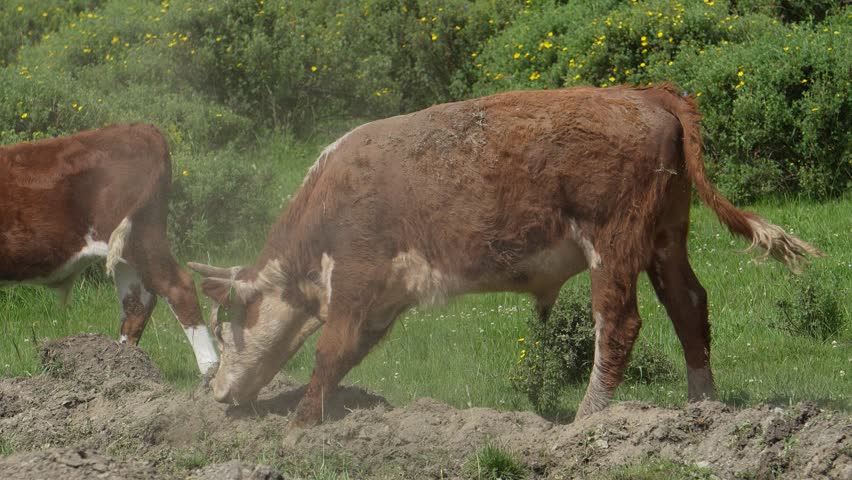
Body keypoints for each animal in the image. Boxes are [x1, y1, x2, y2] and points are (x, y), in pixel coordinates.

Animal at [1, 124, 218, 375]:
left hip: (142, 235)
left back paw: (210, 371)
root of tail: (142, 128)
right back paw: (123, 365)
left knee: (179, 288)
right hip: (127, 251)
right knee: (136, 303)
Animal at [188, 85, 820, 427]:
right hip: (666, 238)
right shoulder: (381, 301)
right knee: (689, 305)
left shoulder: (356, 276)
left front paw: (296, 428)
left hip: (613, 244)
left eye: (222, 328)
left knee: (618, 324)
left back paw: (585, 421)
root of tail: (642, 93)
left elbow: (328, 353)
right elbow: (346, 357)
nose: (216, 392)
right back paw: (702, 409)